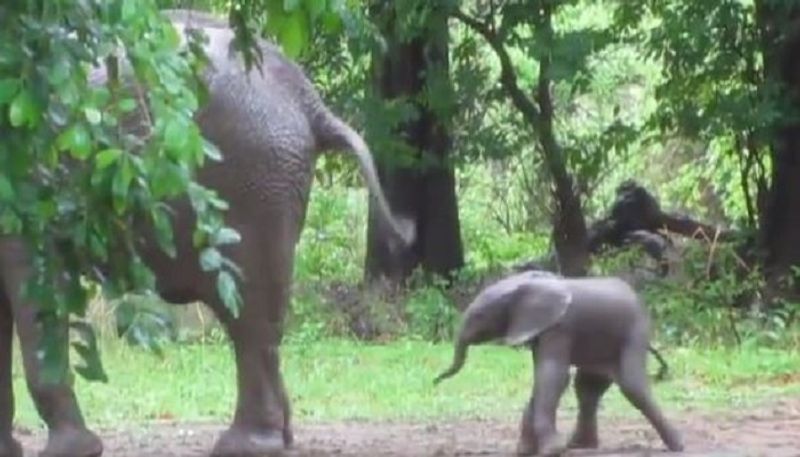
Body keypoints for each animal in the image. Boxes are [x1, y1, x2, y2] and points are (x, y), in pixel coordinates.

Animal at [0, 8, 412, 456]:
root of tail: (308, 100)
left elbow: (35, 287)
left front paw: (71, 451)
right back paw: (277, 438)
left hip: (251, 185)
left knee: (249, 315)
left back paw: (246, 445)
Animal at [434, 270, 684, 452]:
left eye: (479, 316)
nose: (435, 381)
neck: (530, 284)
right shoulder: (540, 329)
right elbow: (544, 378)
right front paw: (526, 451)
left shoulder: (560, 327)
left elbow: (552, 375)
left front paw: (552, 450)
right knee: (588, 388)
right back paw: (581, 445)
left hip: (635, 331)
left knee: (631, 385)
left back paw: (677, 446)